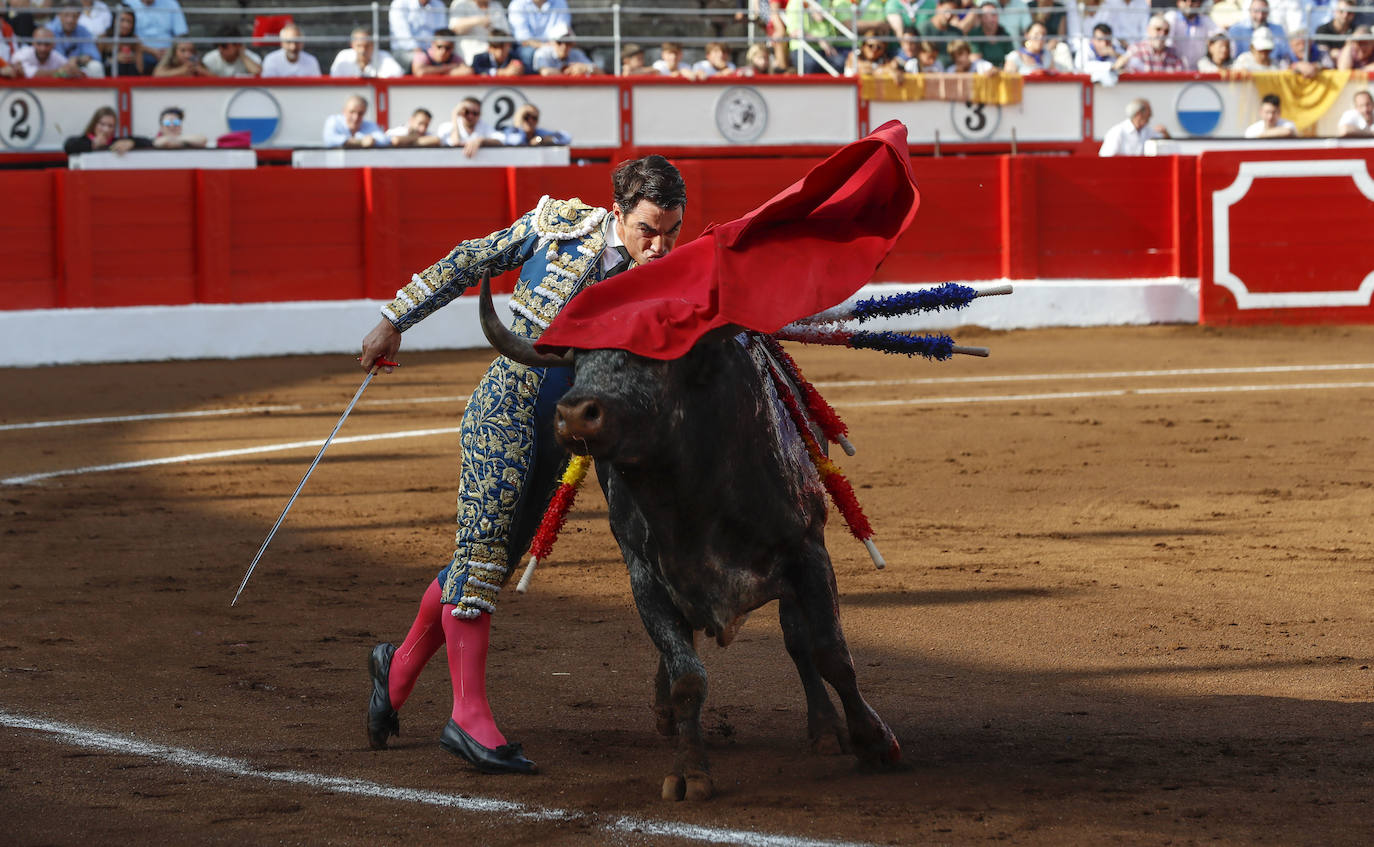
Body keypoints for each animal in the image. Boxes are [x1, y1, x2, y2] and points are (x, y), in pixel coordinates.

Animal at [483, 277, 901, 803]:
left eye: (652, 354)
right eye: (576, 360)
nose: (575, 415)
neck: (686, 496)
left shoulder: (808, 551)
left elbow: (831, 652)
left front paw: (875, 742)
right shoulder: (647, 576)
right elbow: (687, 676)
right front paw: (690, 771)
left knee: (798, 640)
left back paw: (826, 730)